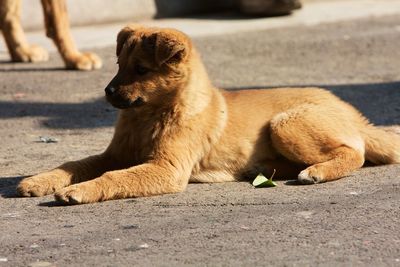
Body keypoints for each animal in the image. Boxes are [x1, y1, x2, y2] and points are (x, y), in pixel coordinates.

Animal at [16, 24, 400, 205]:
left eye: (141, 70)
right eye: (119, 66)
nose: (108, 93)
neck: (150, 116)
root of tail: (353, 115)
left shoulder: (166, 169)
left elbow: (115, 178)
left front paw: (79, 191)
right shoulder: (116, 155)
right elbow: (74, 164)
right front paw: (39, 180)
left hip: (285, 123)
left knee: (354, 153)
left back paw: (316, 172)